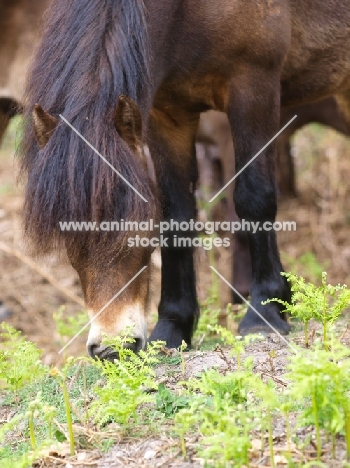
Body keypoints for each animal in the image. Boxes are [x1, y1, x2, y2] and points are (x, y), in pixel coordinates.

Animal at [21, 0, 350, 358]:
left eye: (140, 229)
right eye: (67, 236)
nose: (111, 349)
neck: (185, 12)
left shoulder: (253, 87)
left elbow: (254, 199)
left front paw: (264, 312)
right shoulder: (166, 114)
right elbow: (176, 216)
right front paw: (172, 328)